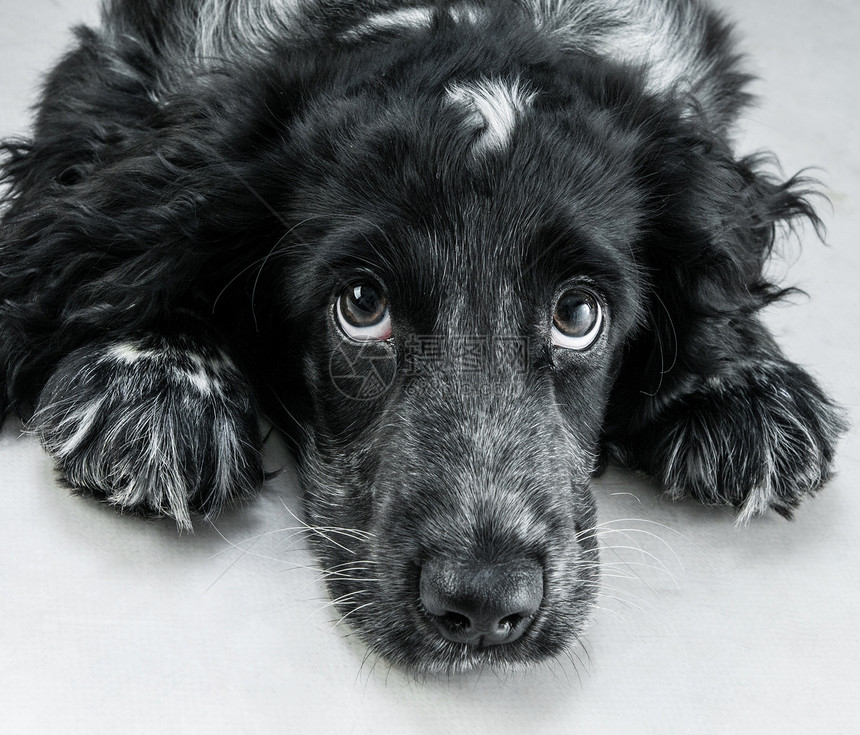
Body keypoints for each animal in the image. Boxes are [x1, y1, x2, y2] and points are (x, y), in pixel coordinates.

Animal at [0, 0, 848, 672]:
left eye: (578, 315)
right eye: (361, 303)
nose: (485, 604)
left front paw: (738, 382)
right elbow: (138, 227)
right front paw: (156, 380)